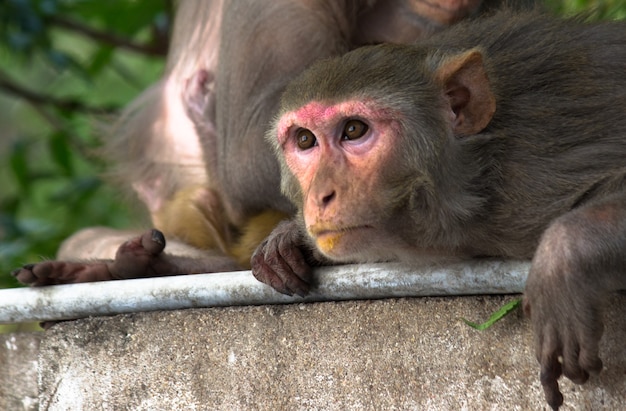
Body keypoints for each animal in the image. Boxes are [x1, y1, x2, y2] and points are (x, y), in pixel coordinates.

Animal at [252, 11, 624, 410]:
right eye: (305, 139)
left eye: (354, 130)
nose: (321, 195)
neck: (475, 176)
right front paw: (287, 242)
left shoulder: (536, 176)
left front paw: (563, 258)